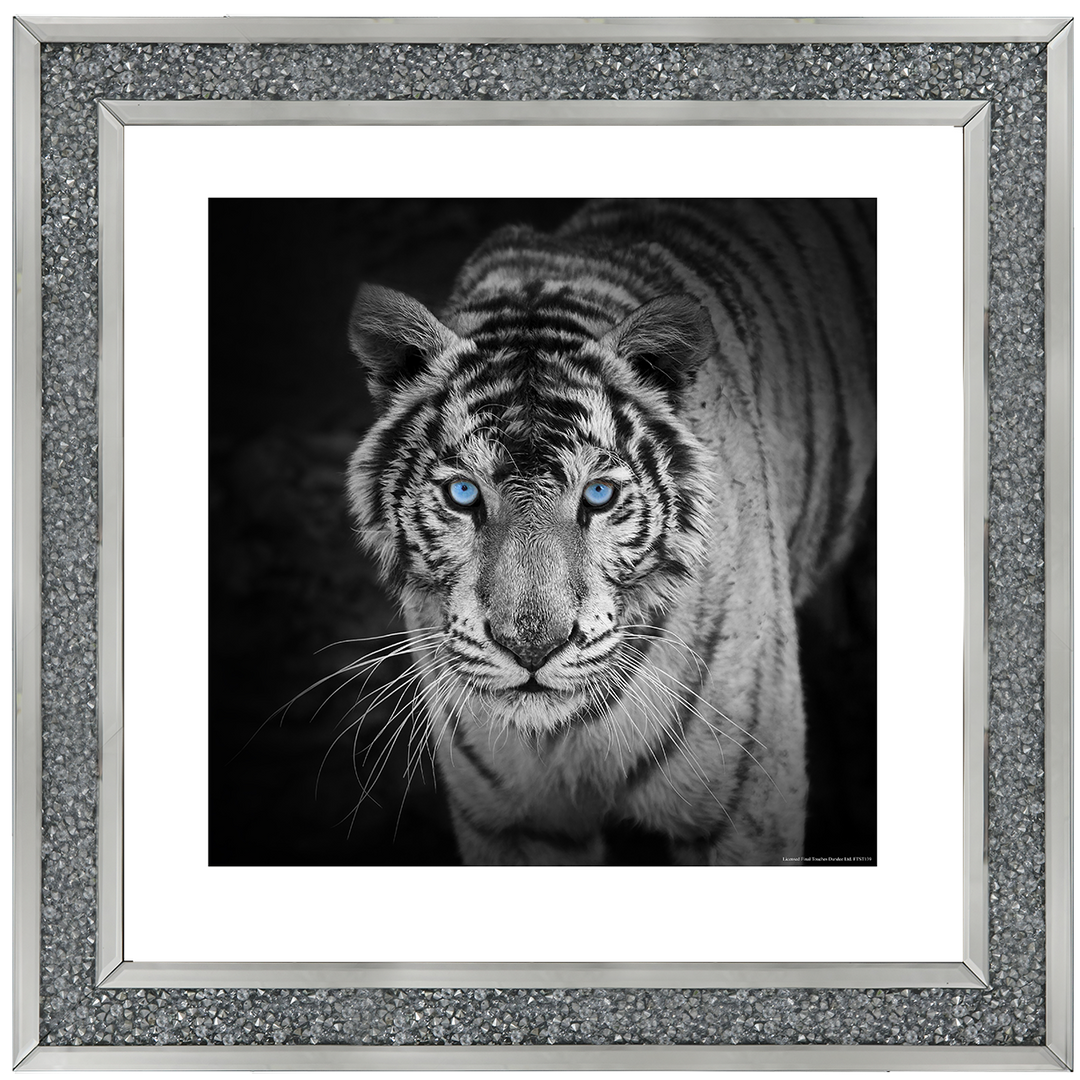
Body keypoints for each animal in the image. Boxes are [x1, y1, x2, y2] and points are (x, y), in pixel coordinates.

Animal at [344, 199, 875, 865]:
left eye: (597, 495)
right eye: (463, 493)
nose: (532, 649)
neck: (564, 736)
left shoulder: (744, 811)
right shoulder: (513, 822)